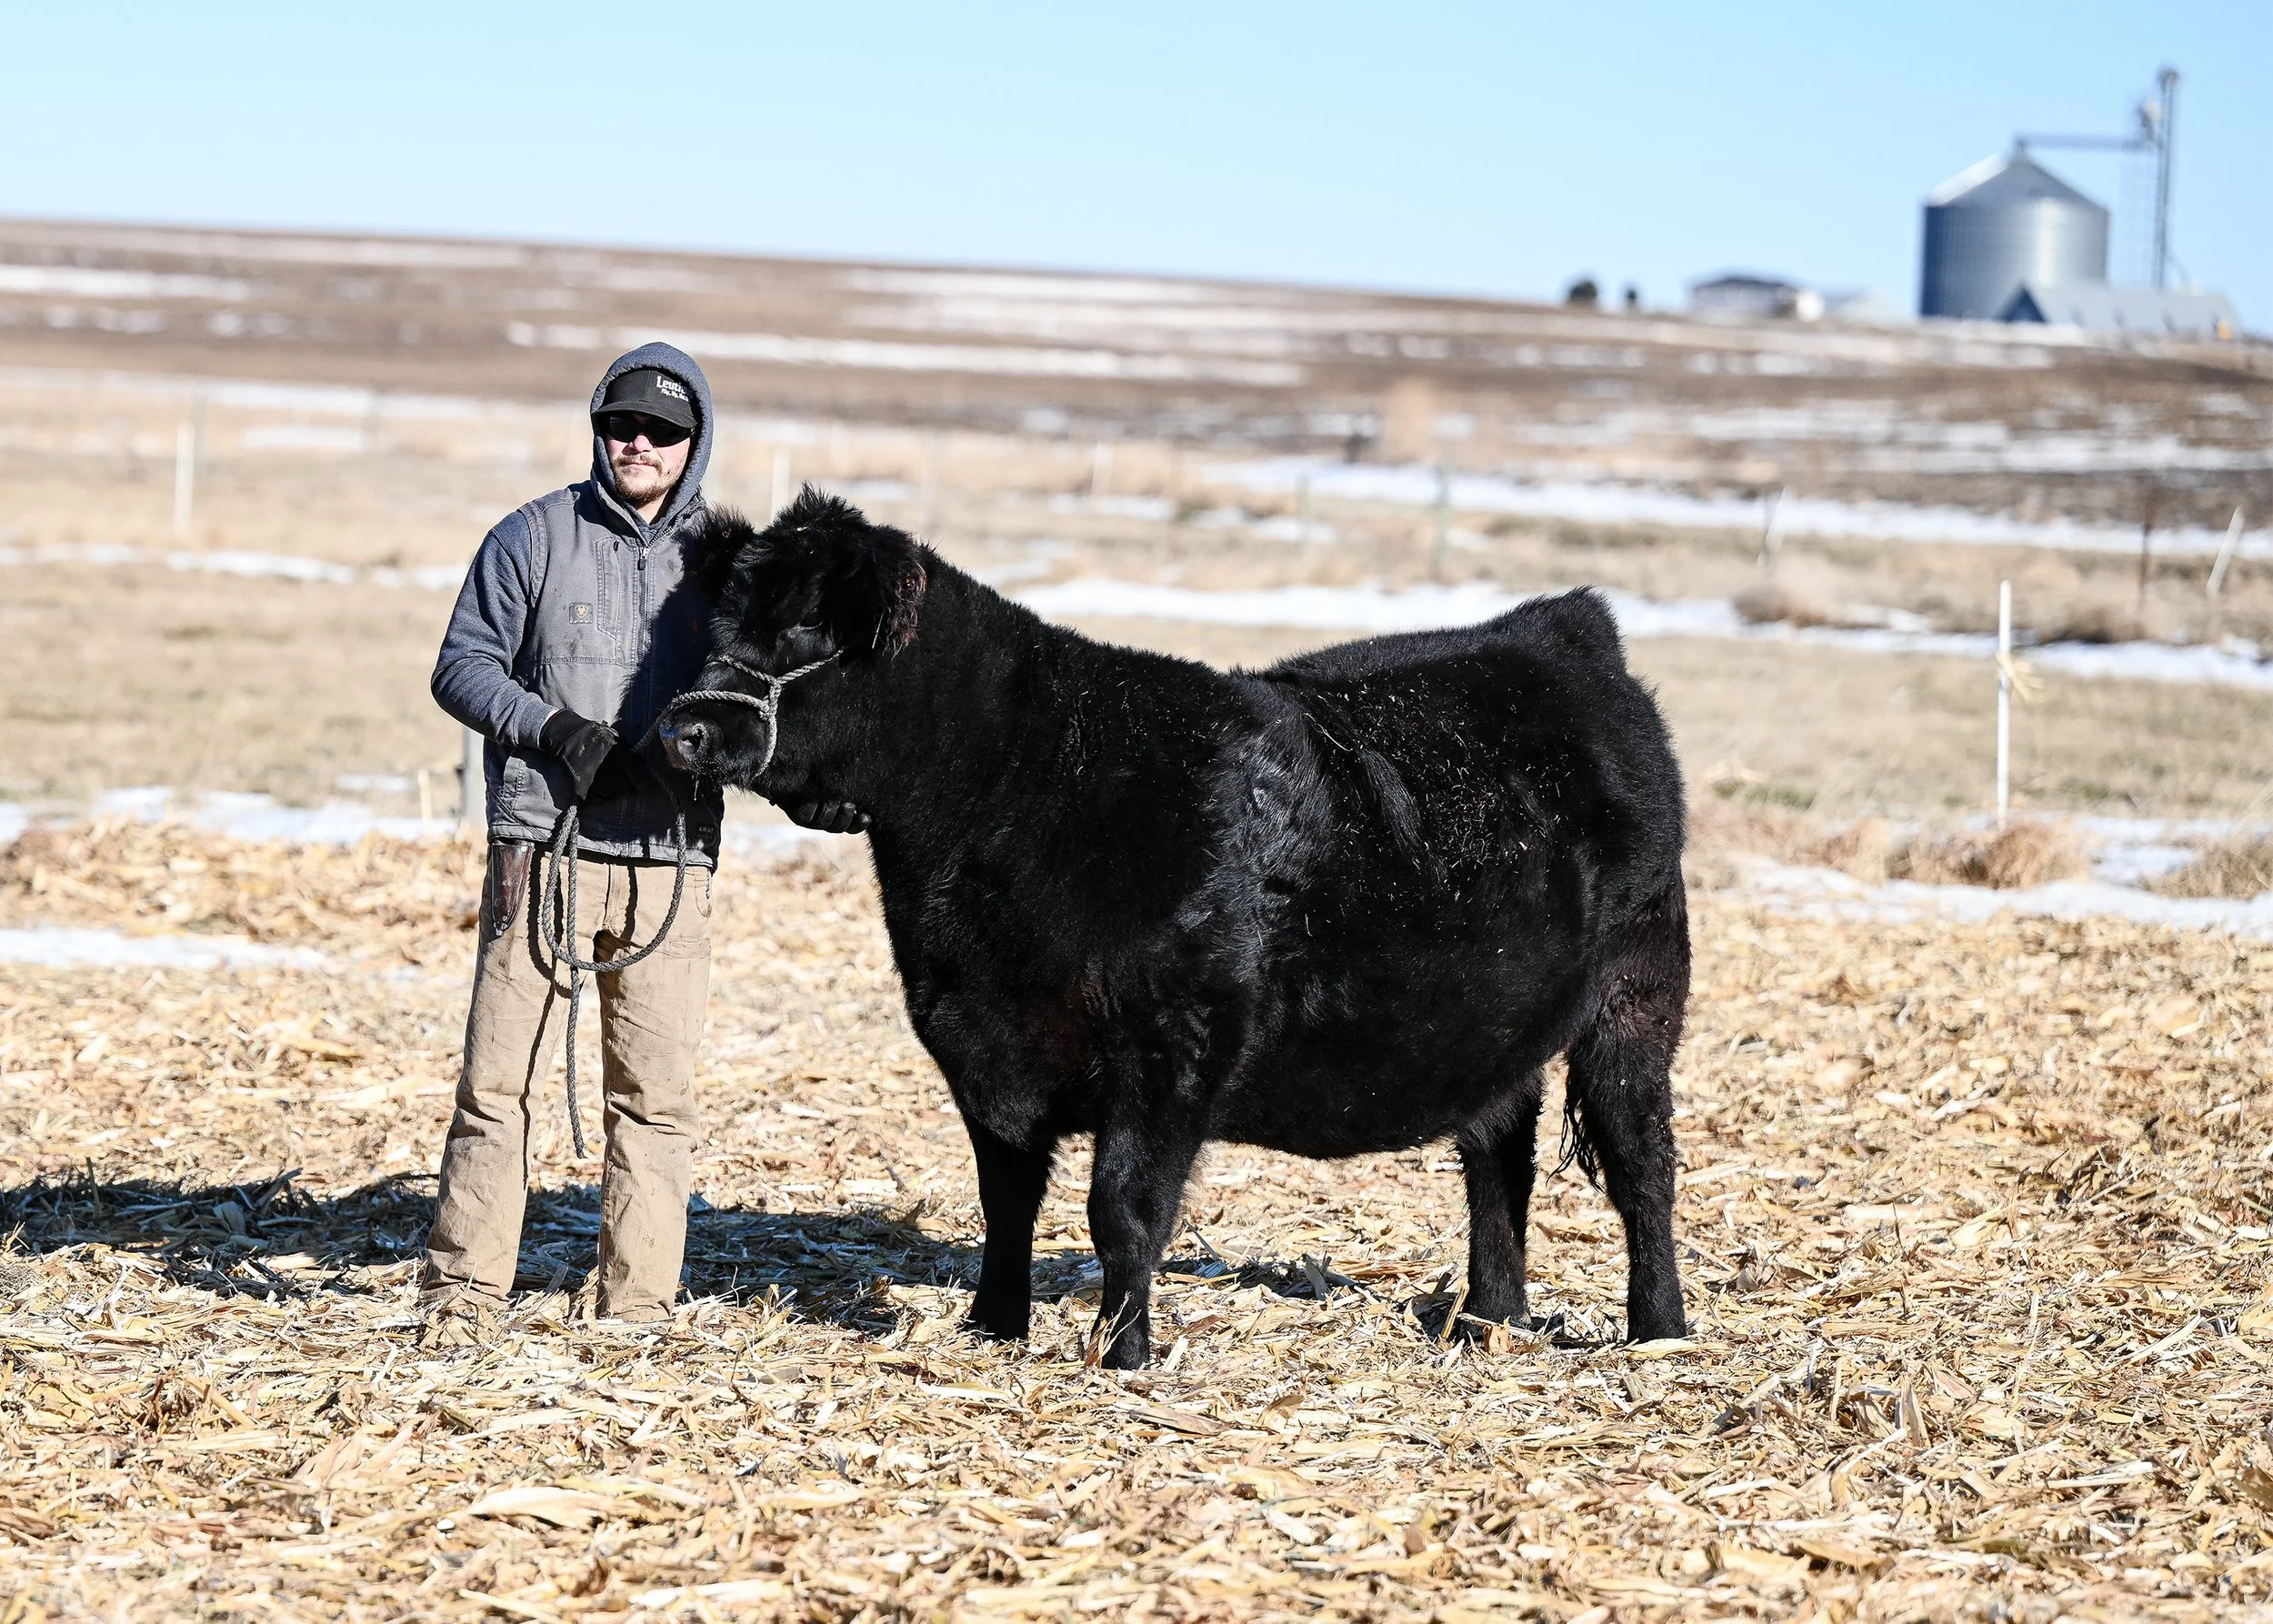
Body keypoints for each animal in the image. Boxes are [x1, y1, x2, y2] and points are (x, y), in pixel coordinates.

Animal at [659, 491, 1690, 1369]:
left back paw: (1660, 1330)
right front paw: (994, 1326)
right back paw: (1488, 1319)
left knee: (1639, 1158)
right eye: (716, 621)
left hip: (1638, 993)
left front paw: (1123, 1352)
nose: (683, 730)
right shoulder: (979, 1047)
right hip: (1496, 1023)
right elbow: (1008, 1197)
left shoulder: (1173, 1046)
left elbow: (1121, 1208)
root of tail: (1556, 624)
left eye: (803, 625)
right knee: (1498, 1154)